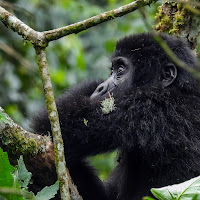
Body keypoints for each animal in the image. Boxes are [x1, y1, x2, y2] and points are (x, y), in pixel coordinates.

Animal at [32, 33, 200, 200]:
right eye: (111, 71)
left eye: (120, 70)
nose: (100, 88)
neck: (178, 89)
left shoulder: (141, 106)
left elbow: (51, 128)